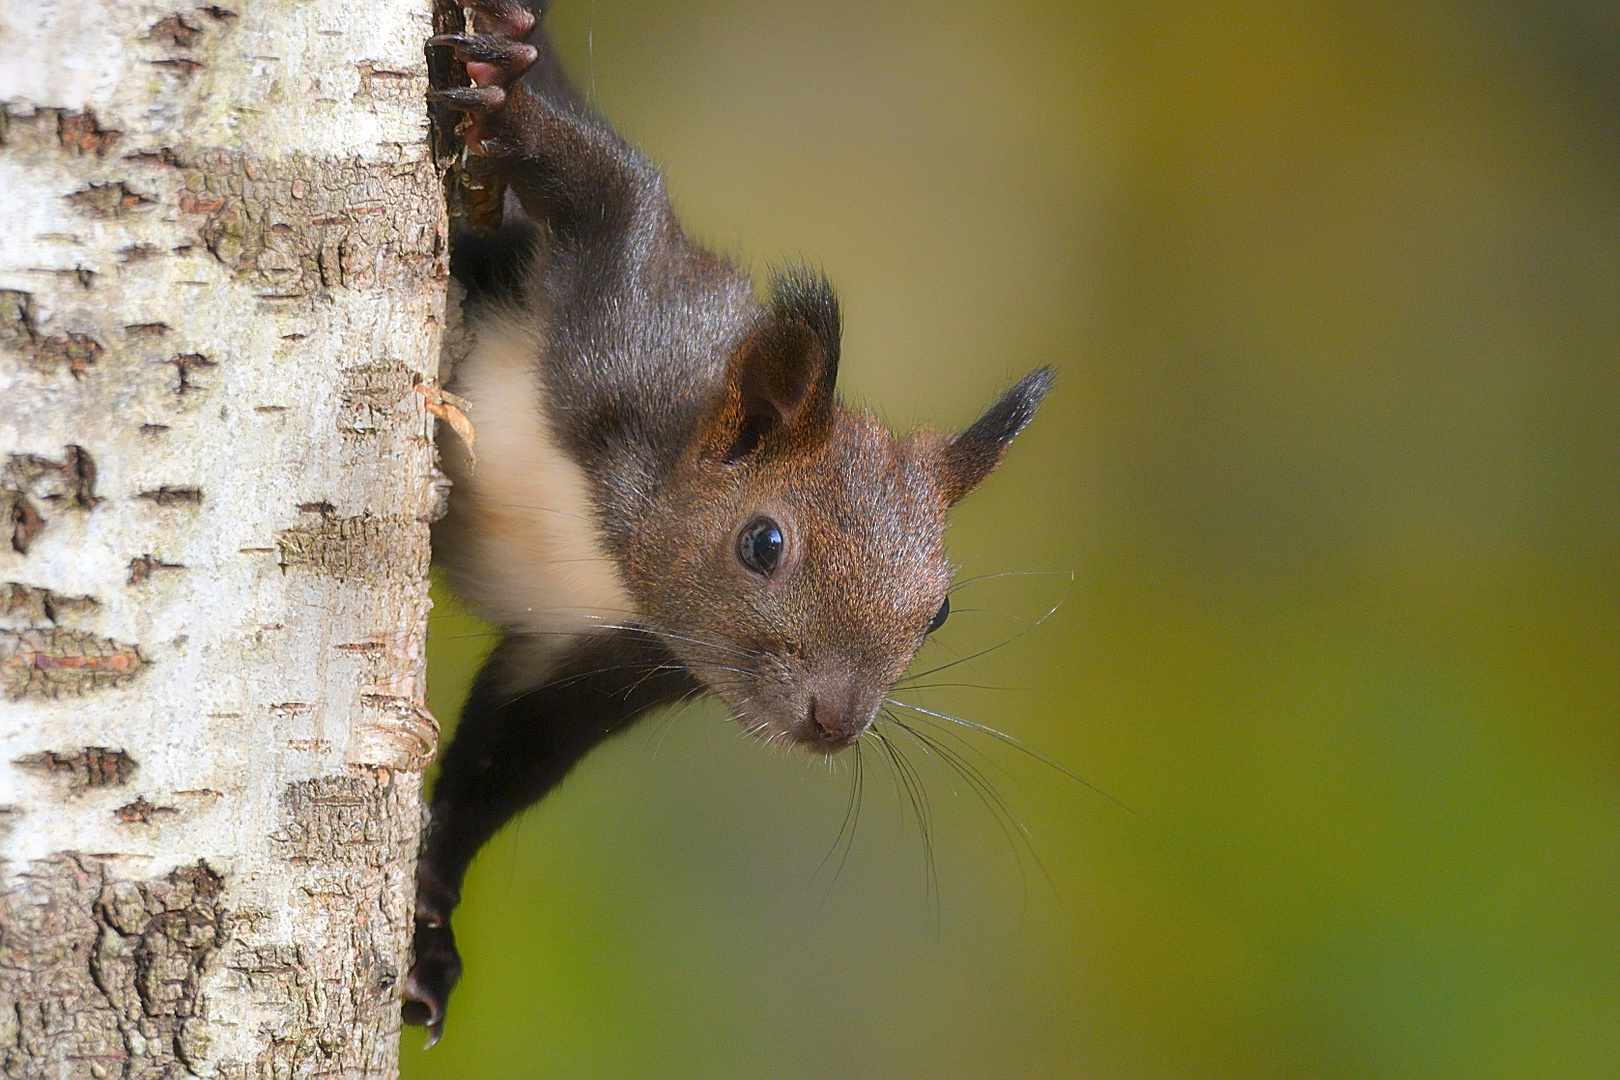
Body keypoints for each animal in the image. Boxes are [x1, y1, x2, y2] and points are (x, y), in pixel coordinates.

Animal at [408, 0, 1049, 1049]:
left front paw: (431, 917)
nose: (835, 722)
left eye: (942, 613)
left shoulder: (604, 655)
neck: (616, 545)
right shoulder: (639, 322)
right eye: (764, 544)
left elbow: (499, 764)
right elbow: (619, 197)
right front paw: (509, 104)